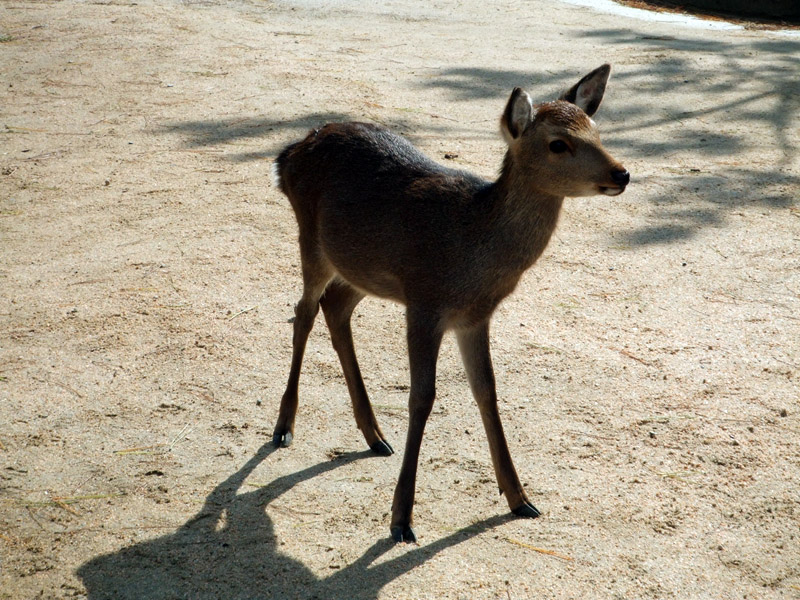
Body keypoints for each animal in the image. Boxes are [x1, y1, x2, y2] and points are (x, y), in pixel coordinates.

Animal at [272, 65, 628, 544]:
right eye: (559, 143)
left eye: (596, 130)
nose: (622, 173)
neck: (471, 250)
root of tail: (288, 154)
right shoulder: (425, 303)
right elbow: (422, 397)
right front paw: (401, 519)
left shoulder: (474, 317)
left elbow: (487, 391)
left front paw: (520, 498)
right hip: (311, 240)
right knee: (303, 312)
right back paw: (284, 428)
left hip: (361, 268)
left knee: (336, 306)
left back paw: (374, 435)